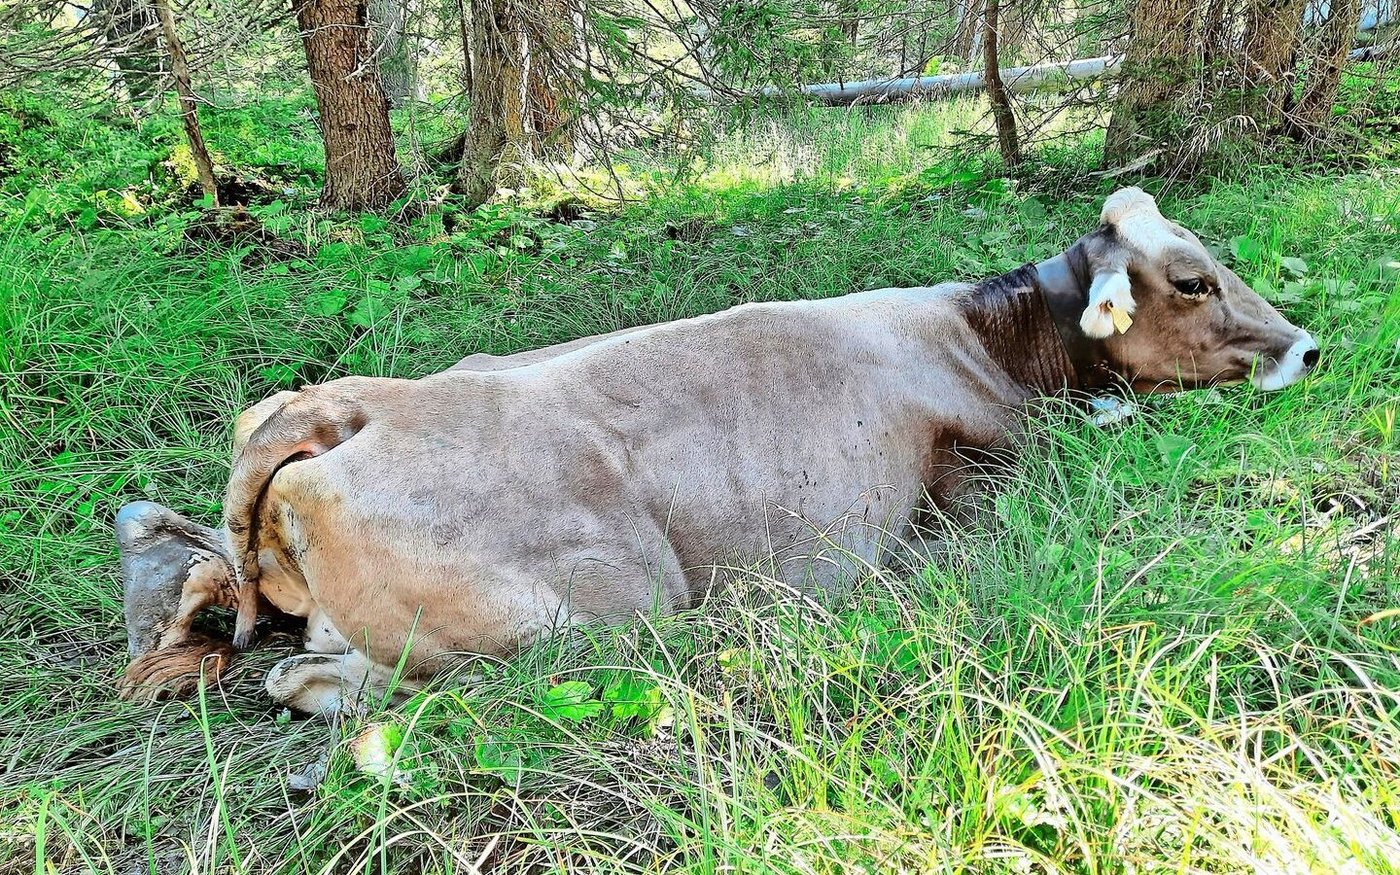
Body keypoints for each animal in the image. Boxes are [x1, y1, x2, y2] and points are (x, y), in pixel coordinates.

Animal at [115, 188, 1319, 714]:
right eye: (1193, 279)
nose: (1306, 347)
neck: (977, 338)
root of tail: (342, 405)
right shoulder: (975, 471)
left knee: (212, 577)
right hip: (610, 611)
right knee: (315, 679)